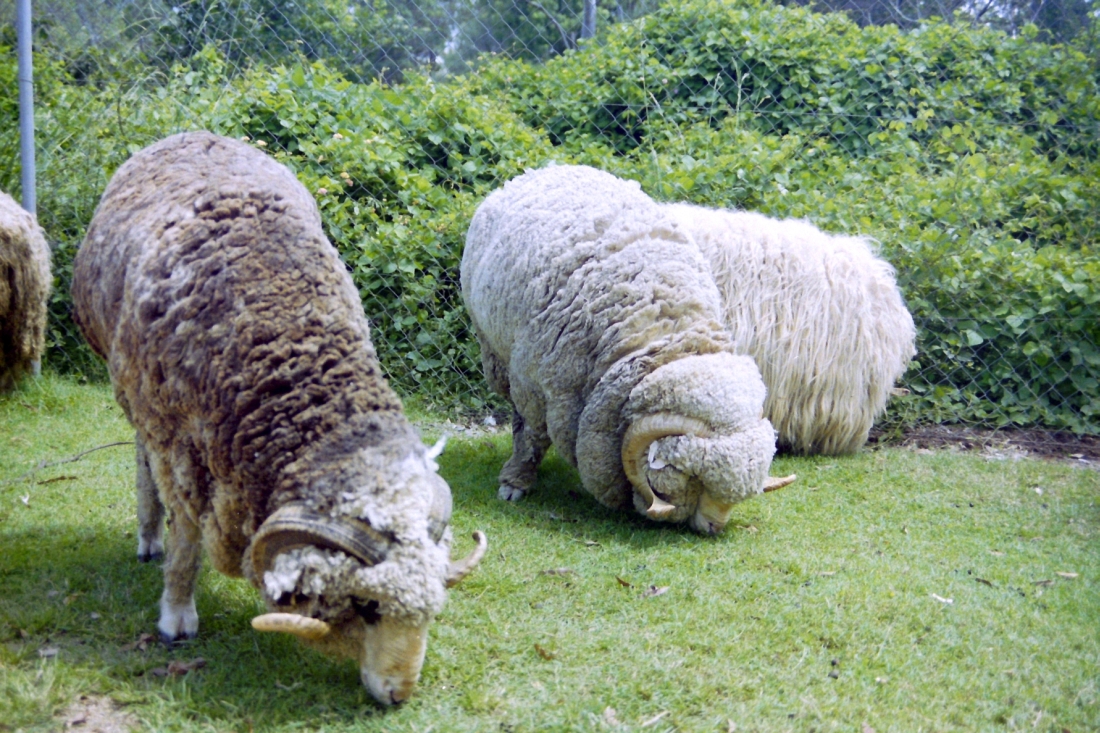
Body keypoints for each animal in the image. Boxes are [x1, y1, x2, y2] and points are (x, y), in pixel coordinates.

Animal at [71, 131, 486, 705]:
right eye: (367, 607)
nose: (399, 695)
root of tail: (196, 133)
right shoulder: (179, 443)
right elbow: (185, 540)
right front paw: (176, 614)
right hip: (140, 395)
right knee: (141, 456)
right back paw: (148, 535)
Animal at [461, 164, 795, 534]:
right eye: (690, 476)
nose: (714, 527)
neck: (660, 332)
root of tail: (551, 168)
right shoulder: (531, 384)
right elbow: (532, 434)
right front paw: (515, 481)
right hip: (494, 349)